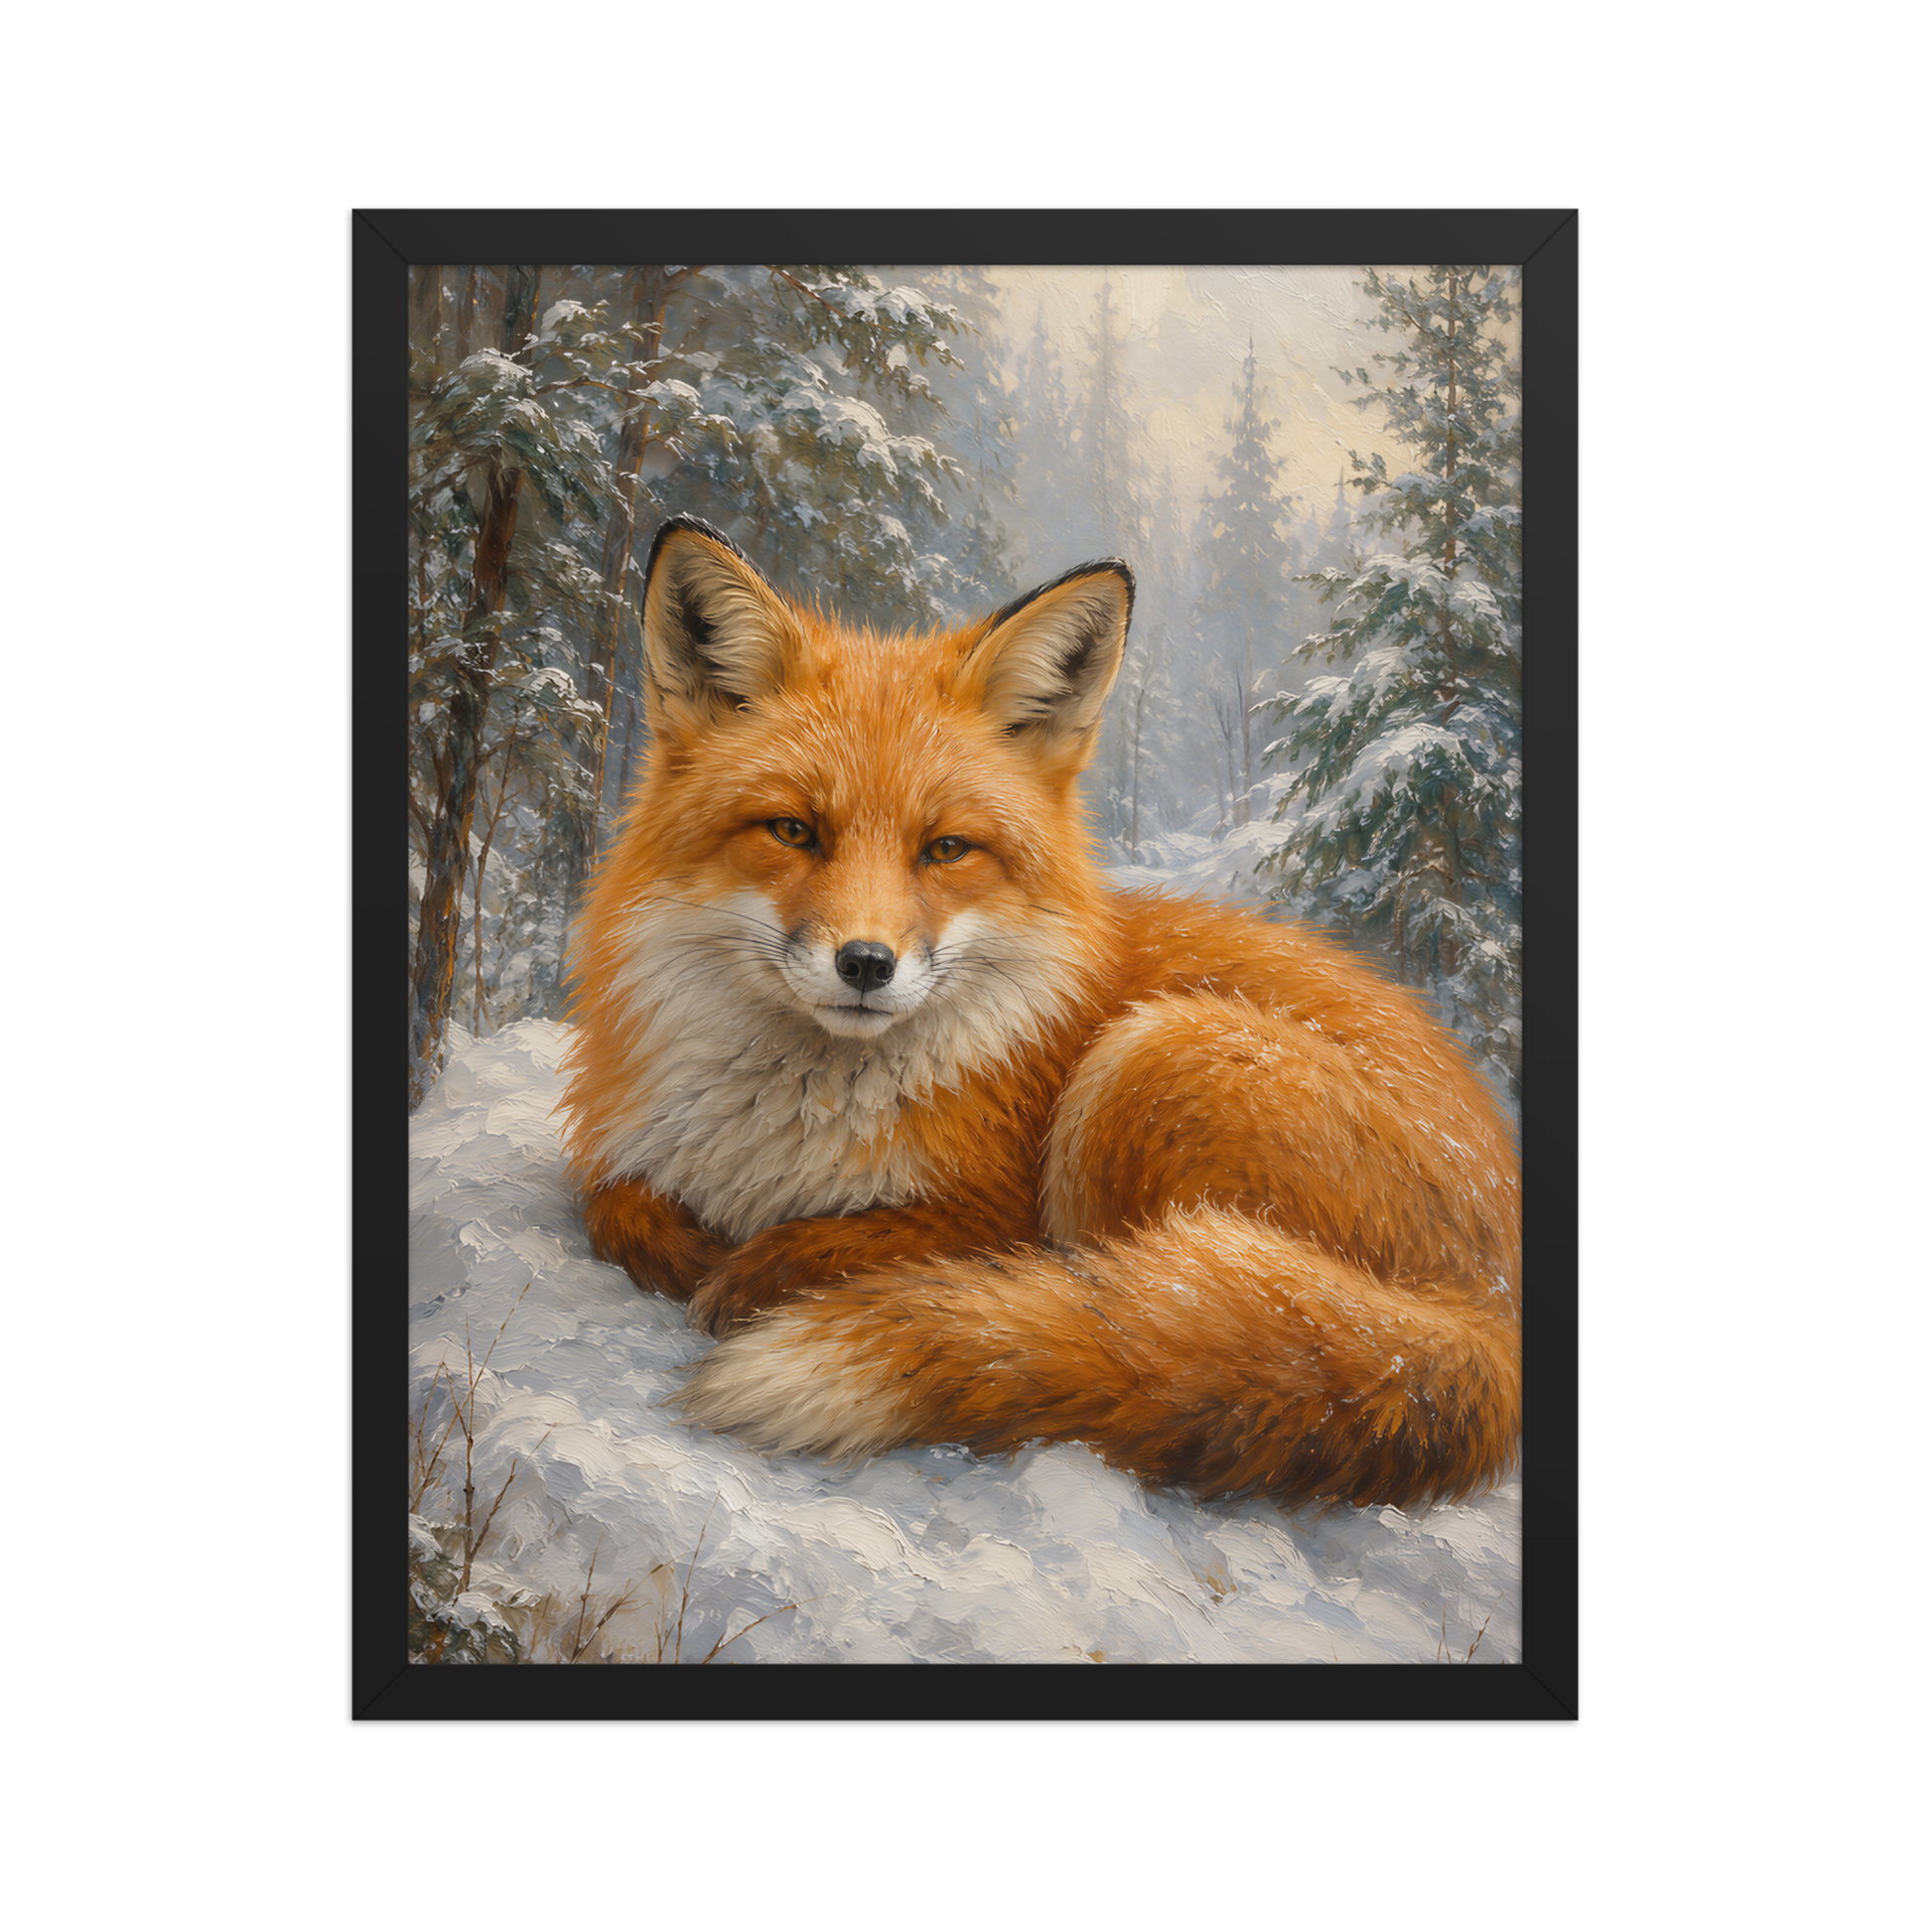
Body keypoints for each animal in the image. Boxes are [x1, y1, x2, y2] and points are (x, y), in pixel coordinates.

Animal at [558, 515, 1521, 1512]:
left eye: (946, 849)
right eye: (793, 831)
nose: (866, 964)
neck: (783, 1130)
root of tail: (1495, 1308)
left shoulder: (994, 1210)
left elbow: (873, 1241)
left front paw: (759, 1271)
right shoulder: (628, 1153)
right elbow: (612, 1204)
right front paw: (687, 1249)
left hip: (1152, 1057)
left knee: (1134, 1311)